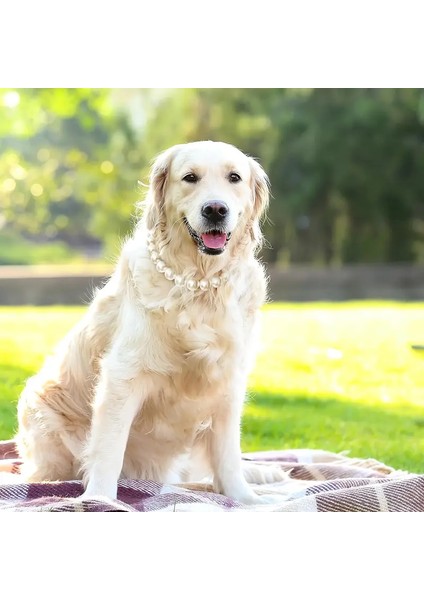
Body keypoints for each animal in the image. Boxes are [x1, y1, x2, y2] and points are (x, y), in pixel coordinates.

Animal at [16, 143, 284, 504]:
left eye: (234, 178)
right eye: (190, 178)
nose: (215, 209)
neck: (198, 284)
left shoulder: (228, 380)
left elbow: (227, 453)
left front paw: (245, 499)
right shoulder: (123, 375)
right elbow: (109, 449)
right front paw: (99, 500)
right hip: (42, 412)